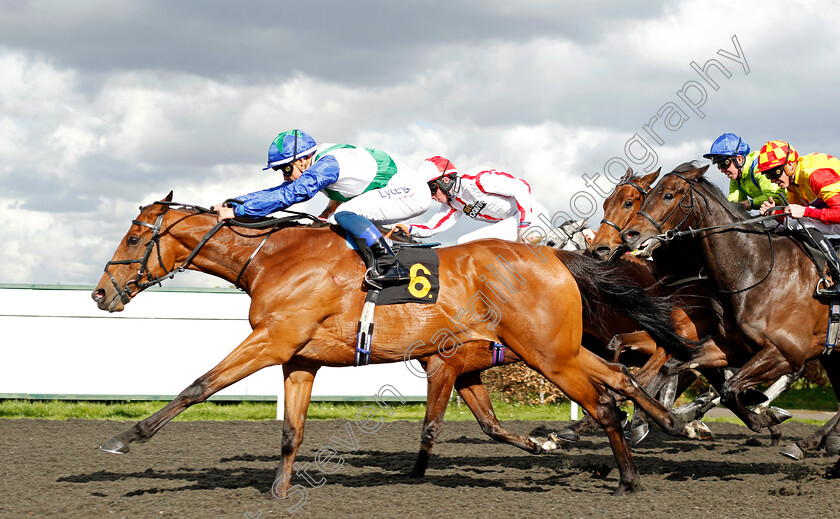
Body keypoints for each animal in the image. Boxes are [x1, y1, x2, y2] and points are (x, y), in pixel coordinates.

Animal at [92, 194, 708, 496]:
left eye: (135, 236)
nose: (101, 293)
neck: (275, 257)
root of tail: (554, 256)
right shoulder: (300, 359)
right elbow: (291, 431)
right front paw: (279, 489)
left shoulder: (271, 340)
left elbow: (199, 386)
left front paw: (125, 439)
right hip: (558, 348)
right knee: (619, 379)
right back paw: (664, 428)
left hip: (548, 353)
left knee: (603, 401)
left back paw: (628, 476)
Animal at [616, 167, 840, 468]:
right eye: (648, 194)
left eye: (669, 195)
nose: (629, 235)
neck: (753, 270)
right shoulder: (730, 347)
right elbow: (675, 369)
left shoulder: (786, 353)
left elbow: (729, 388)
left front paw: (764, 416)